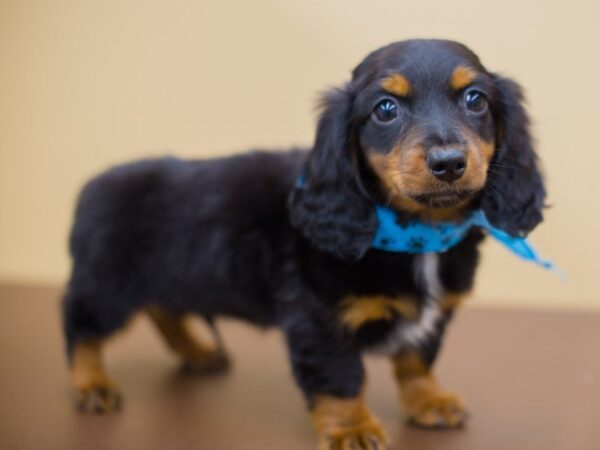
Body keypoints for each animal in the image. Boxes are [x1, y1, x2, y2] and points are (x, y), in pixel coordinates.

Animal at [62, 40, 544, 448]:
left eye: (476, 100)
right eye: (385, 109)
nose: (448, 163)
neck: (417, 232)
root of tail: (94, 184)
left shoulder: (435, 316)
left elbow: (417, 360)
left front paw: (428, 400)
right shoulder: (319, 321)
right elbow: (341, 378)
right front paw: (352, 428)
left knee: (165, 309)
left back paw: (197, 353)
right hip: (108, 285)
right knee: (80, 324)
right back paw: (92, 384)